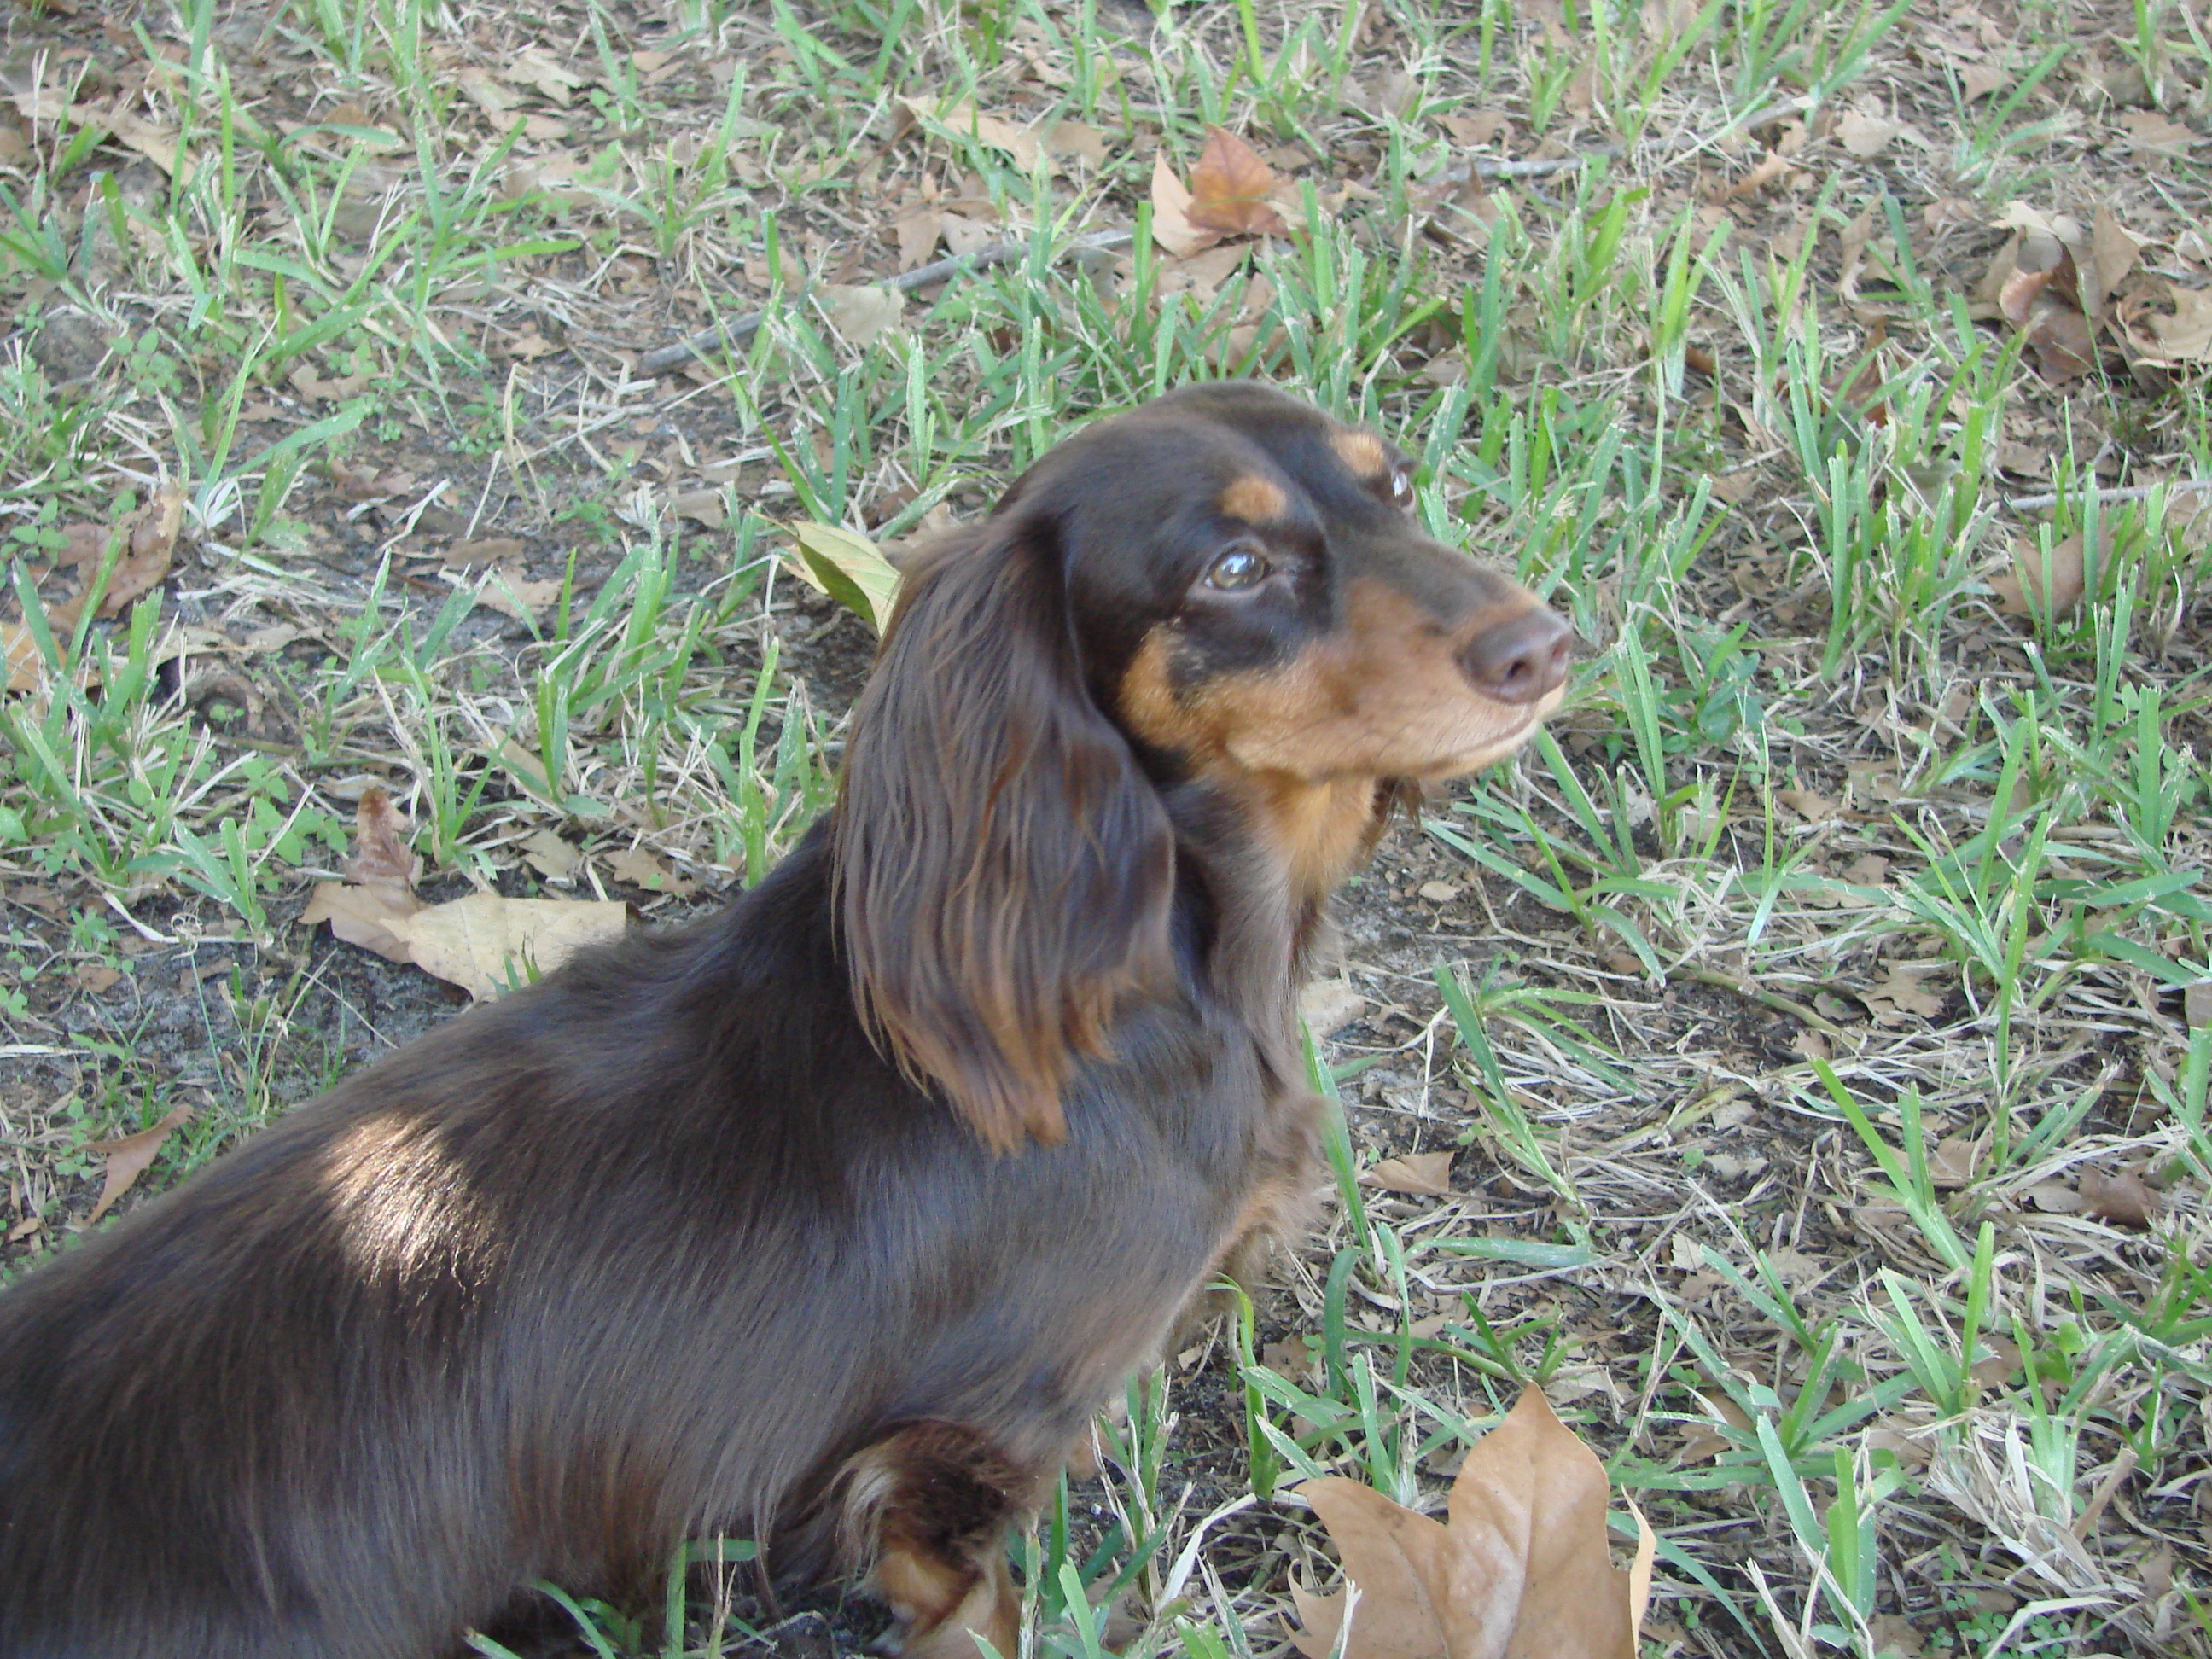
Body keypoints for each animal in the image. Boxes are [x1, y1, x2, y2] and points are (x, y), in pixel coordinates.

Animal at [0, 380, 1575, 1659]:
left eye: (1392, 484)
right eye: (1234, 567)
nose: (1544, 644)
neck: (1141, 979)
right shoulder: (955, 1444)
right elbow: (968, 1583)